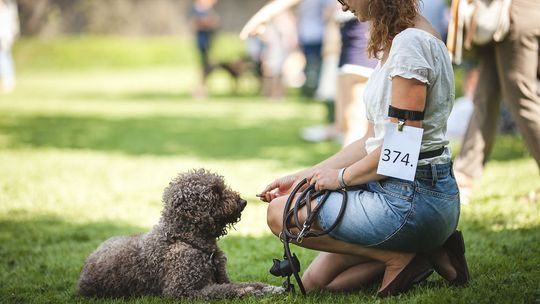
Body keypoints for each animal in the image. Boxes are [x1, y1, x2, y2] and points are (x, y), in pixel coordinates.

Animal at [79, 169, 286, 300]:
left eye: (221, 186)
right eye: (215, 192)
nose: (243, 202)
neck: (186, 238)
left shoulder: (222, 278)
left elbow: (245, 284)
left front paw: (270, 288)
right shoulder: (182, 291)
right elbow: (224, 291)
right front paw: (249, 292)